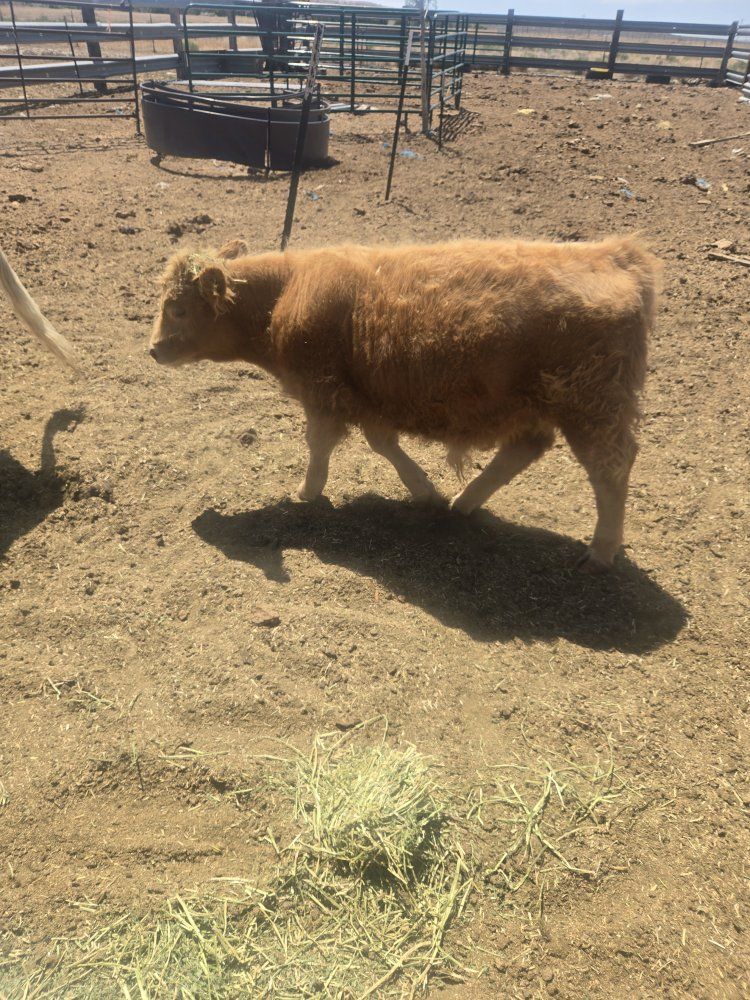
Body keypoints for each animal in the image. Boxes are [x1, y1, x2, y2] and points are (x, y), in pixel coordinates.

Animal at [150, 236, 659, 572]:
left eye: (177, 309)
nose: (152, 350)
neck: (286, 291)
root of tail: (615, 254)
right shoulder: (366, 396)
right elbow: (382, 442)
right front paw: (425, 492)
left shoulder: (322, 390)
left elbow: (320, 444)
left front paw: (306, 492)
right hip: (537, 405)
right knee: (524, 449)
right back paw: (464, 502)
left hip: (592, 405)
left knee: (611, 469)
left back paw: (601, 550)